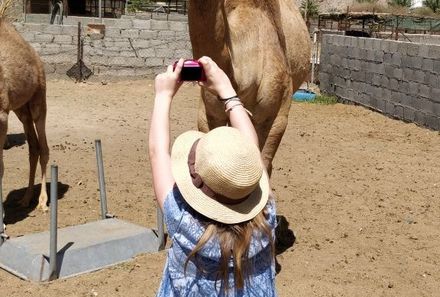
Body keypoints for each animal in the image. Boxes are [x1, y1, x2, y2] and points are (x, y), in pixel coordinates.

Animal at [0, 19, 49, 213]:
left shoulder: (2, 115)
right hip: (21, 110)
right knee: (33, 147)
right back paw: (26, 199)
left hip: (38, 99)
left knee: (43, 148)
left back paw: (42, 201)